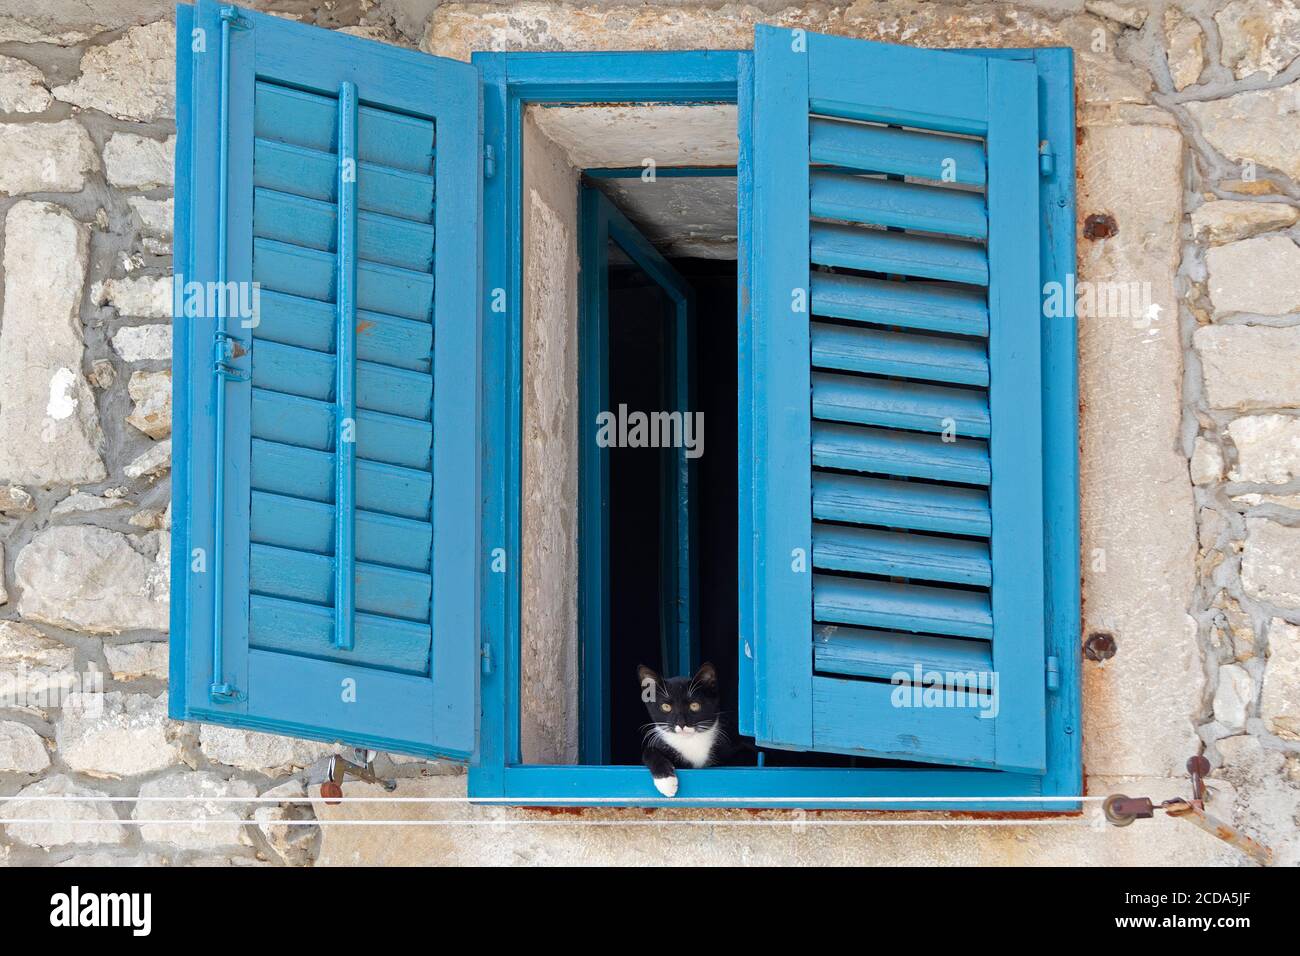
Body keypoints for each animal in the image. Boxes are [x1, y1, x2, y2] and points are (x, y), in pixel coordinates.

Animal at [634, 660, 738, 796]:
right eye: (666, 707)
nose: (681, 723)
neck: (690, 741)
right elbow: (648, 751)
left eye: (694, 705)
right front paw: (666, 781)